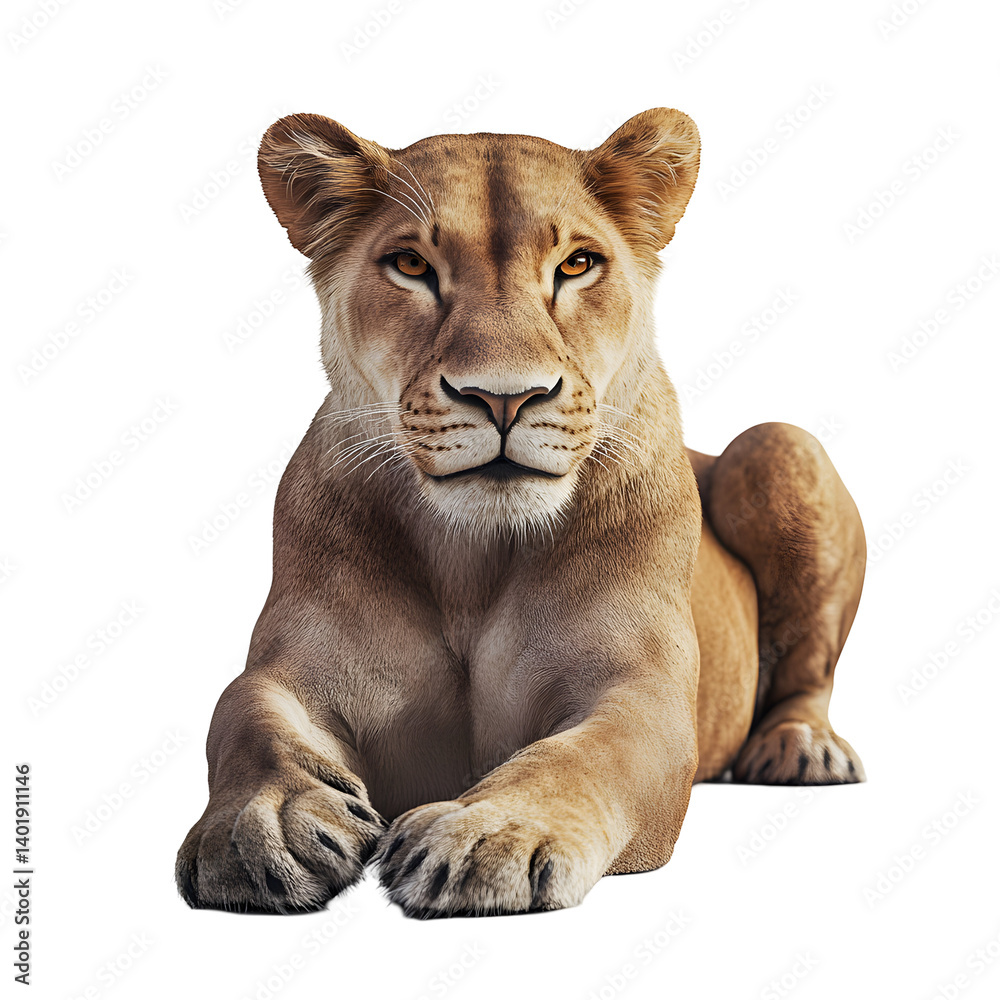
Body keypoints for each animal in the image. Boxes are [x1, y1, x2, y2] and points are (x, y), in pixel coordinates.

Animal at [175, 108, 866, 918]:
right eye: (410, 265)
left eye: (577, 265)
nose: (504, 397)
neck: (475, 556)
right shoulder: (292, 671)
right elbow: (245, 718)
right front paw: (261, 827)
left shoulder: (644, 696)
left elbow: (577, 756)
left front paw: (488, 836)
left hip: (780, 445)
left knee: (809, 669)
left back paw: (801, 749)